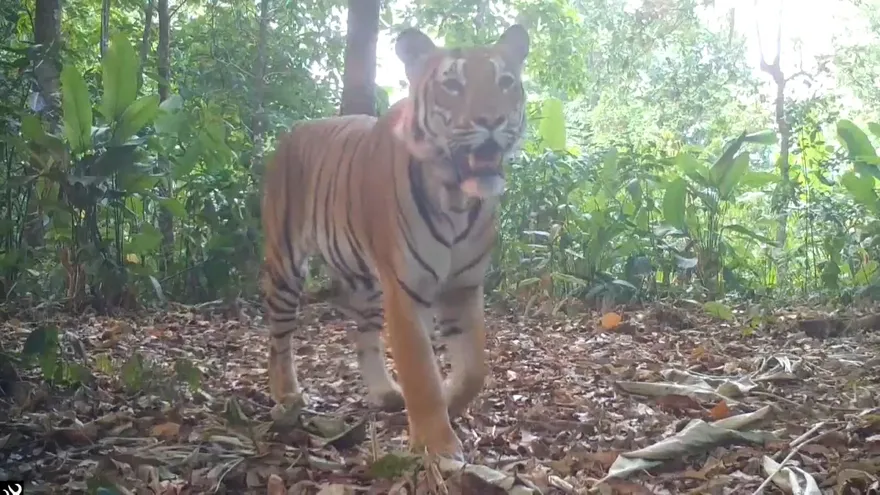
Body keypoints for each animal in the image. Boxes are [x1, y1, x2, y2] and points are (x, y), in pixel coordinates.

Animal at [260, 24, 530, 460]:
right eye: (452, 85)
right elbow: (420, 369)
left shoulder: (463, 286)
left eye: (505, 82)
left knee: (364, 336)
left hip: (366, 281)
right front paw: (437, 445)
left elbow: (475, 369)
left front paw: (450, 399)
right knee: (279, 336)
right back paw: (286, 394)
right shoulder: (406, 290)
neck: (457, 199)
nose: (492, 119)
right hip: (285, 264)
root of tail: (291, 132)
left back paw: (385, 392)